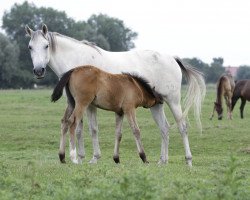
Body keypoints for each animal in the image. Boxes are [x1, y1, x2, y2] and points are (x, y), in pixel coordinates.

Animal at [25, 24, 205, 166]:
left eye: (46, 45)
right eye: (30, 47)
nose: (39, 70)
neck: (76, 61)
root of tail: (172, 58)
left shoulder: (87, 105)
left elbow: (90, 129)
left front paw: (90, 157)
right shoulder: (78, 103)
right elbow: (80, 128)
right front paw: (82, 157)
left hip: (173, 101)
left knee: (182, 127)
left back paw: (188, 160)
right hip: (156, 104)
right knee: (164, 128)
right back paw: (162, 160)